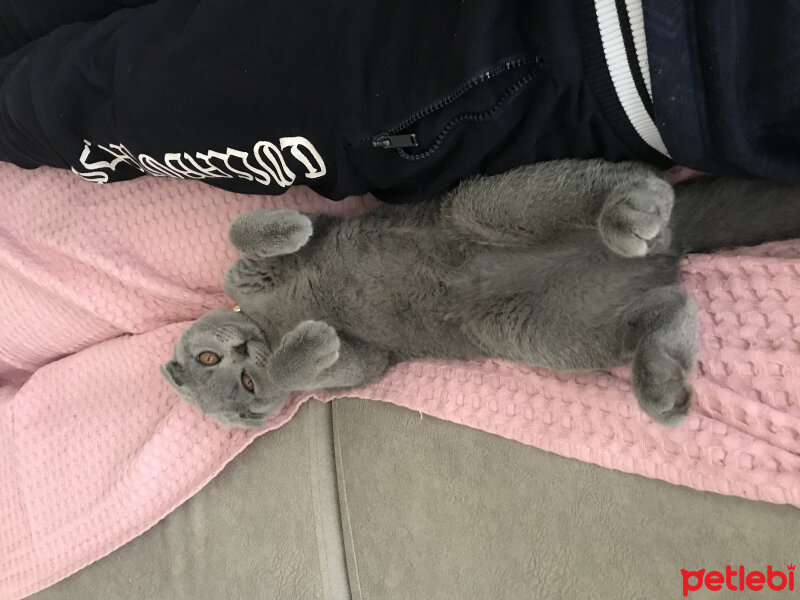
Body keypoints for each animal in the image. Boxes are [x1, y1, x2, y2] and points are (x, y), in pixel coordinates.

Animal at [161, 159, 800, 428]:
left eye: (209, 358)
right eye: (244, 387)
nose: (243, 352)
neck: (269, 322)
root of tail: (668, 245)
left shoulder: (245, 275)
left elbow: (244, 233)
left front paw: (288, 227)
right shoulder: (363, 365)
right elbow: (326, 363)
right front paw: (309, 345)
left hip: (487, 204)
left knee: (626, 179)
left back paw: (630, 210)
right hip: (541, 331)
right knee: (668, 306)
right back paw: (662, 381)